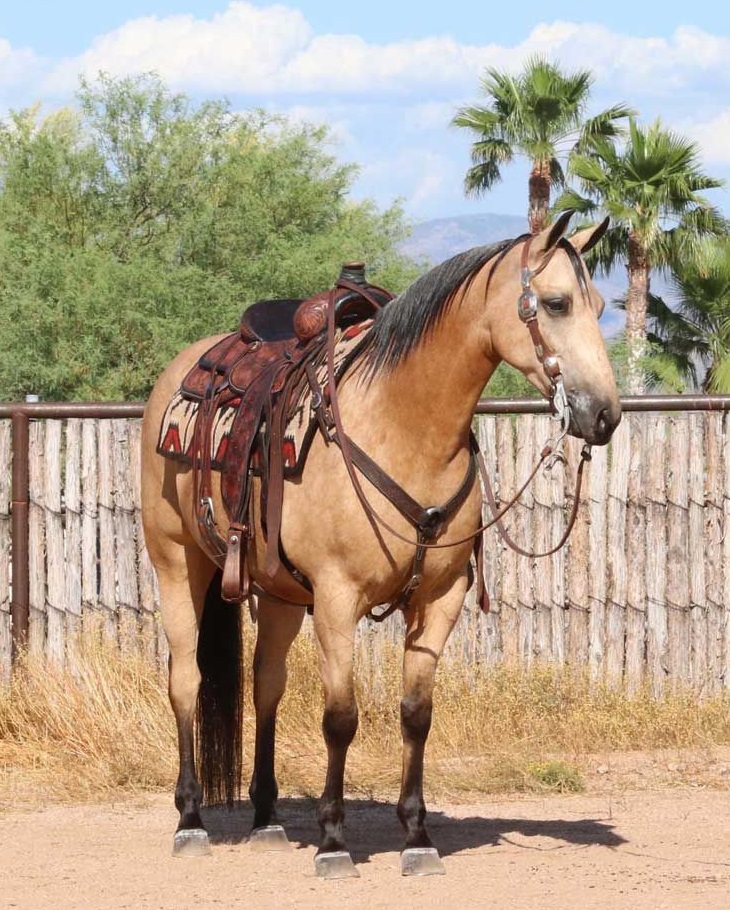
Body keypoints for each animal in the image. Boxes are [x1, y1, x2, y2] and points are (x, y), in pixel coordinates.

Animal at [139, 209, 621, 878]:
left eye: (599, 305)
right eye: (556, 303)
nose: (604, 415)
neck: (403, 426)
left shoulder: (440, 599)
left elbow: (416, 714)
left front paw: (417, 836)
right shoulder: (337, 600)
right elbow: (340, 718)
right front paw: (333, 840)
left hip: (281, 594)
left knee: (267, 685)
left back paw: (266, 818)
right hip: (175, 562)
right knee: (185, 680)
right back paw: (190, 819)